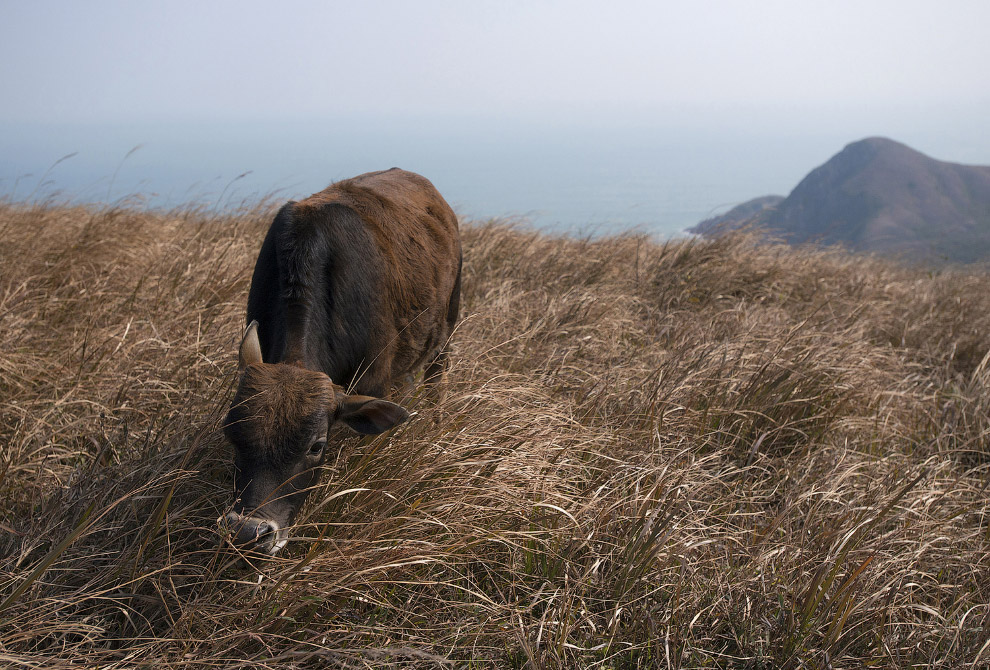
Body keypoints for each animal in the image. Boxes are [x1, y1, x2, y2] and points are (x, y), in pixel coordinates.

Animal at [223, 169, 464, 556]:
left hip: (445, 335)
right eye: (231, 432)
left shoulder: (374, 382)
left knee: (435, 384)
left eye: (316, 446)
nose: (248, 532)